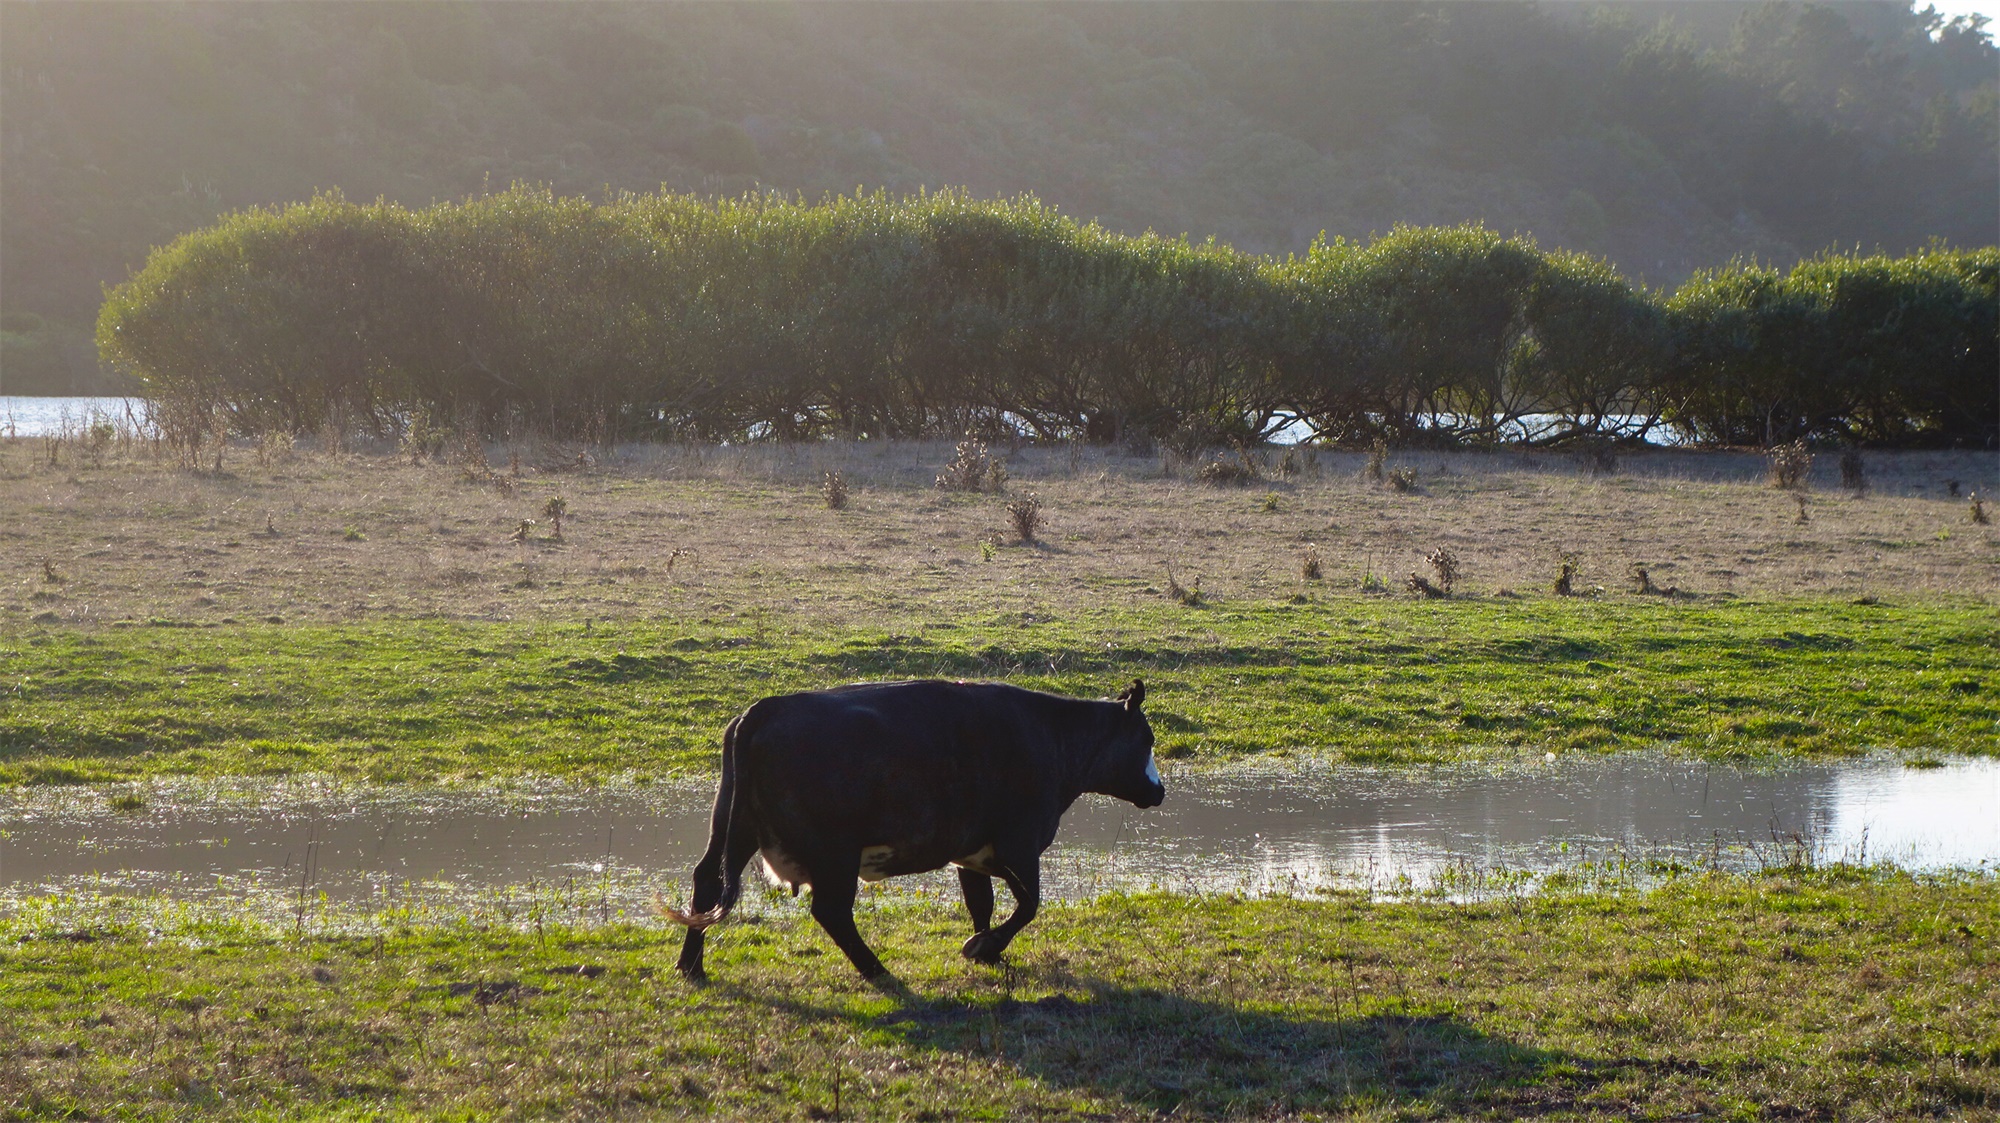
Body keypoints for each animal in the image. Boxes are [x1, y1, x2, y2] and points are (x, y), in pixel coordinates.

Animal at [664, 671, 1168, 979]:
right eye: (1146, 738)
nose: (1158, 791)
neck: (1052, 735)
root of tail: (762, 710)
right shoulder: (1019, 847)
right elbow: (1029, 904)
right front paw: (986, 947)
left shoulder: (972, 854)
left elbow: (982, 905)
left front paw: (986, 948)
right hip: (834, 852)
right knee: (831, 911)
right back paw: (876, 969)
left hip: (732, 830)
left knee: (707, 879)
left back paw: (691, 966)